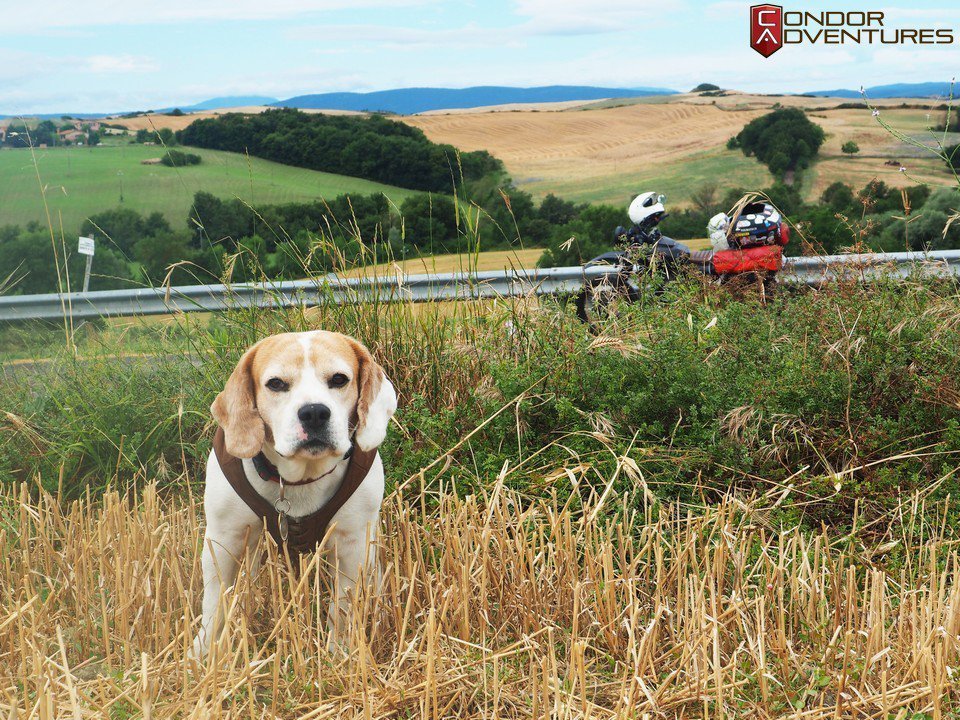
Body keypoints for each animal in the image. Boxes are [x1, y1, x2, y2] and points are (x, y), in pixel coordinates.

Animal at [193, 332, 396, 660]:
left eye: (339, 379)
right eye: (276, 383)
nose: (314, 413)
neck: (299, 478)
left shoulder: (352, 544)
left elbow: (342, 608)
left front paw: (338, 651)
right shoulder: (223, 540)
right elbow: (215, 604)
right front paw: (204, 654)